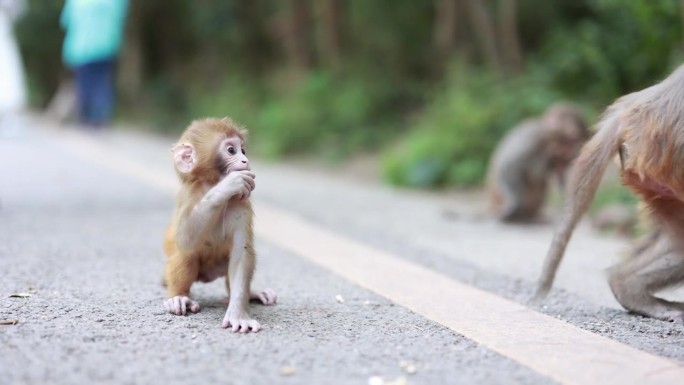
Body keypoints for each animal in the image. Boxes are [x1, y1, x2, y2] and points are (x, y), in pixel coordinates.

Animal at [162, 116, 276, 330]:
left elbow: (241, 252)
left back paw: (250, 294)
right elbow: (184, 240)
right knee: (186, 254)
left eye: (243, 150)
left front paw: (238, 314)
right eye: (231, 150)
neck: (210, 184)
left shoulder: (241, 204)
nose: (245, 160)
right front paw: (227, 186)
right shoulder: (188, 196)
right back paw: (179, 297)